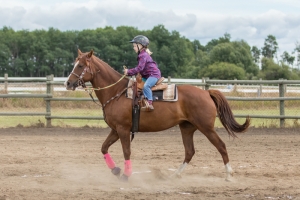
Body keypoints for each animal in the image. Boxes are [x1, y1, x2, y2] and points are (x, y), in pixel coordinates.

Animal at [64, 49, 250, 182]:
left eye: (80, 66)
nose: (68, 83)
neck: (116, 92)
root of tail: (206, 92)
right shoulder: (115, 130)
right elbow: (104, 147)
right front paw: (116, 170)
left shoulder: (123, 129)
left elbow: (126, 151)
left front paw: (125, 175)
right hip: (187, 127)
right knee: (189, 151)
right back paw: (174, 175)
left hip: (206, 127)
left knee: (221, 146)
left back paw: (228, 175)